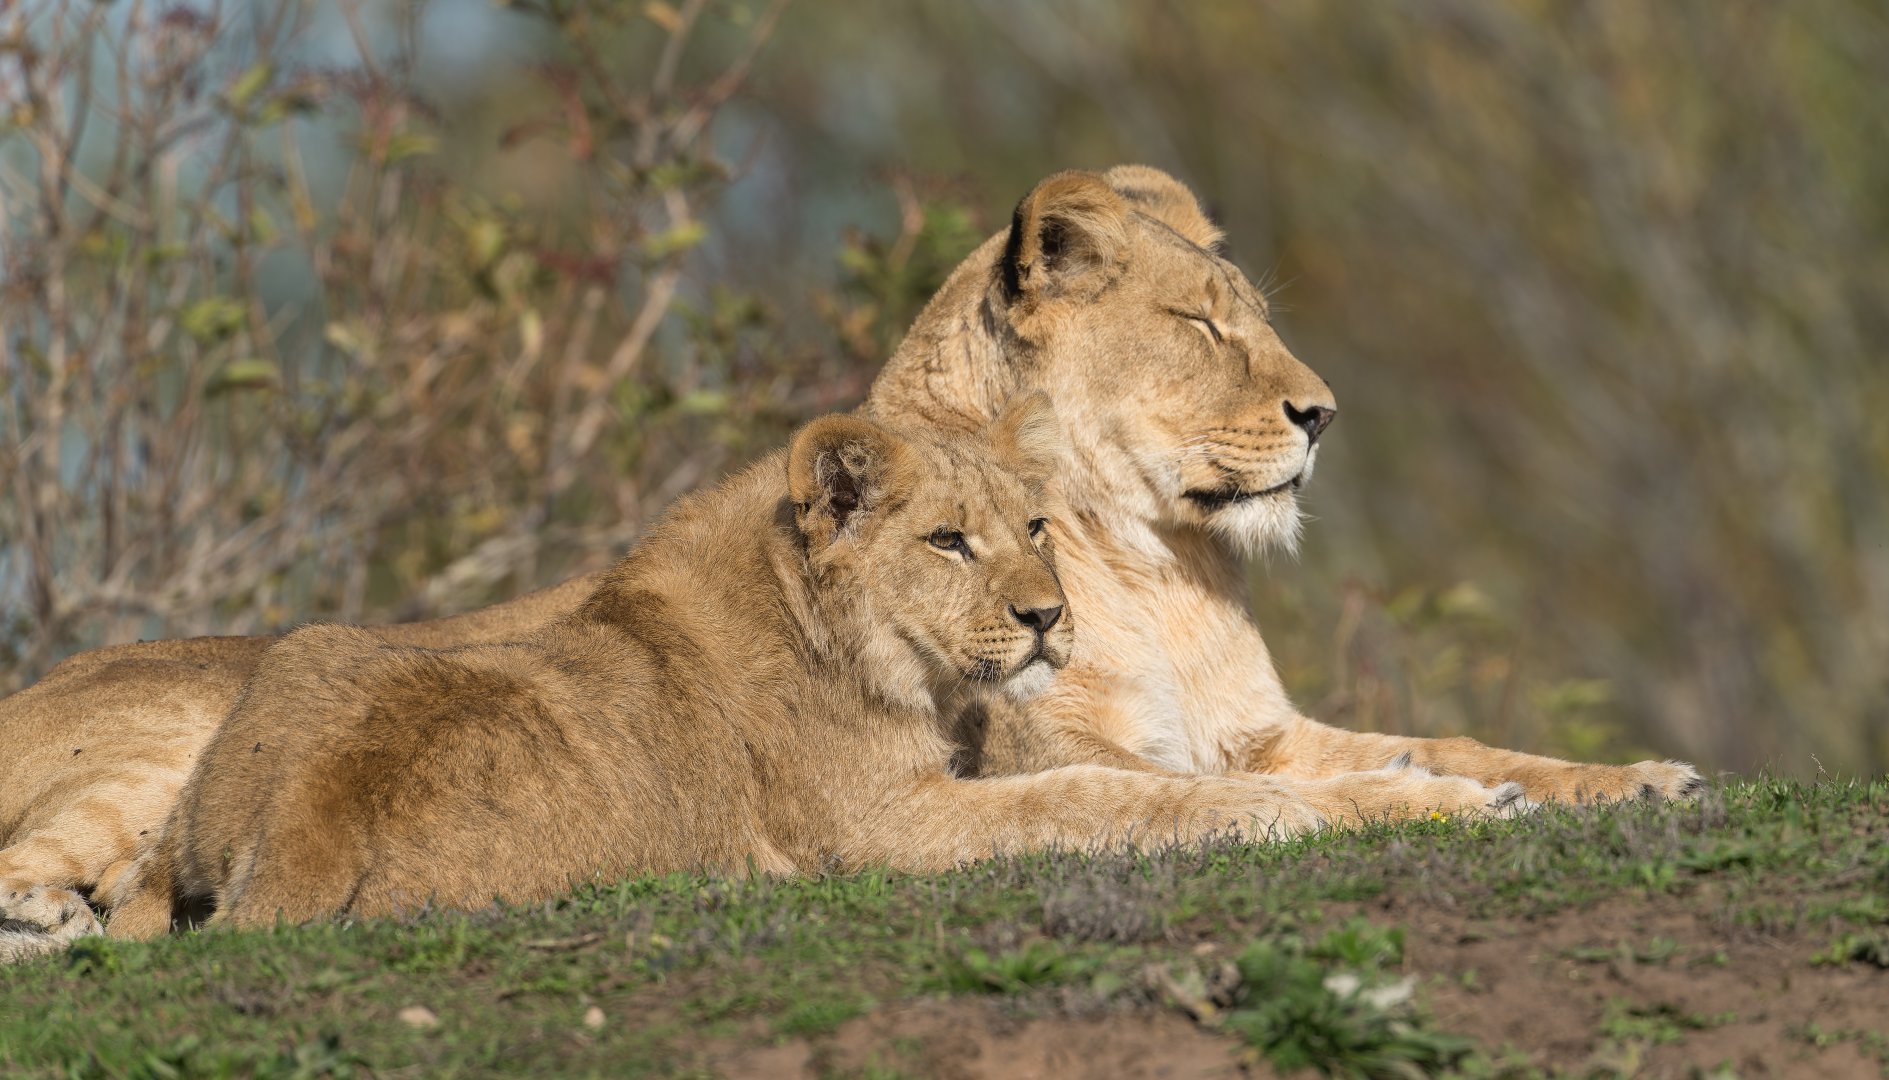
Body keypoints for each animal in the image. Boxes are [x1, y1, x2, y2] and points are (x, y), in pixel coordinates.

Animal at [104, 399, 1523, 937]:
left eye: (1036, 527)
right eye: (946, 541)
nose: (1049, 617)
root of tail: (312, 817)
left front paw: (1449, 791)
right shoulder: (884, 832)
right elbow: (1114, 800)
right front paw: (1315, 809)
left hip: (312, 648)